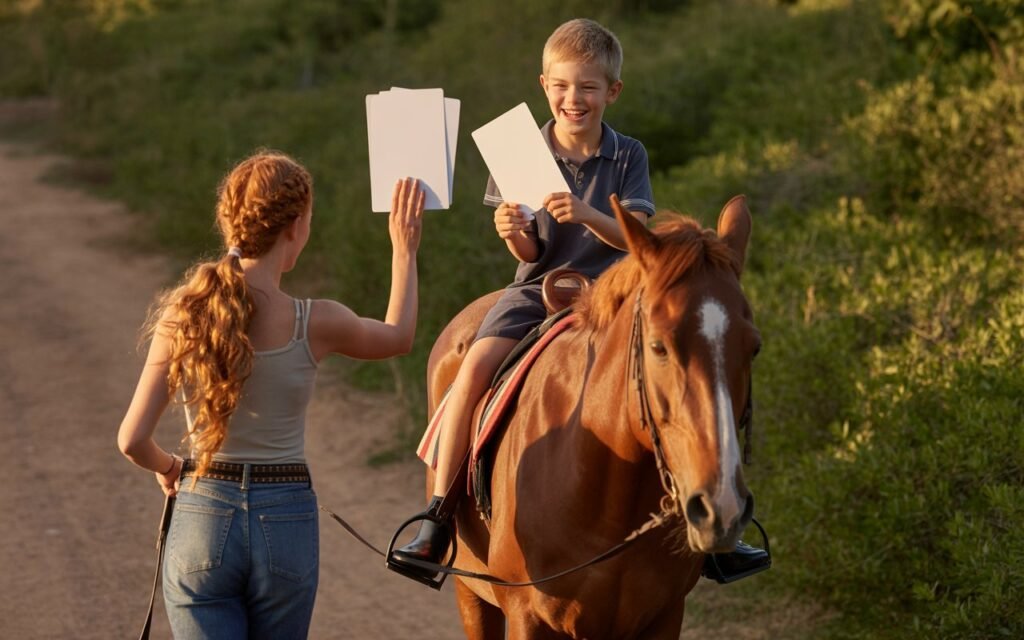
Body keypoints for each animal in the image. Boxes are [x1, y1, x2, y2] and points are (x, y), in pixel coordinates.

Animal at [424, 195, 758, 639]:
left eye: (754, 347)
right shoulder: (527, 618)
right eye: (658, 346)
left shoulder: (665, 615)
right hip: (471, 592)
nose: (721, 507)